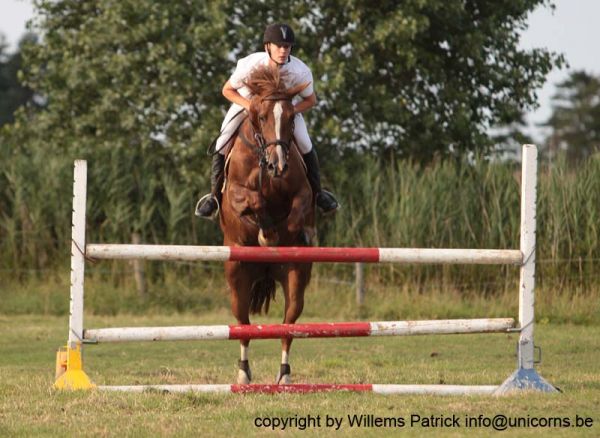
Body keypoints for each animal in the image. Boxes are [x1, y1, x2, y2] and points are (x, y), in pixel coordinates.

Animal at [219, 65, 314, 384]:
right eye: (261, 117)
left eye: (292, 117)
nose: (279, 165)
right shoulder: (236, 194)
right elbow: (254, 202)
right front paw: (266, 235)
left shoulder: (303, 192)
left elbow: (297, 211)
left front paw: (293, 234)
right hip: (237, 276)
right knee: (243, 325)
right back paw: (243, 373)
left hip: (296, 279)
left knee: (288, 325)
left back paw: (284, 375)